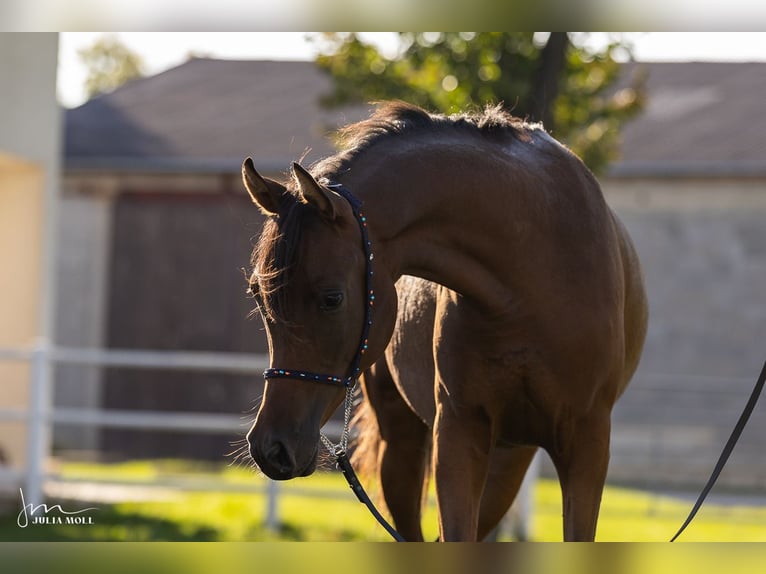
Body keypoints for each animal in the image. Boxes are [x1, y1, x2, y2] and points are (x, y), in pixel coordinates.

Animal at [243, 101, 648, 541]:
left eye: (332, 298)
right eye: (257, 294)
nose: (271, 448)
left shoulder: (587, 443)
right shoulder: (457, 432)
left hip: (509, 458)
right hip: (407, 445)